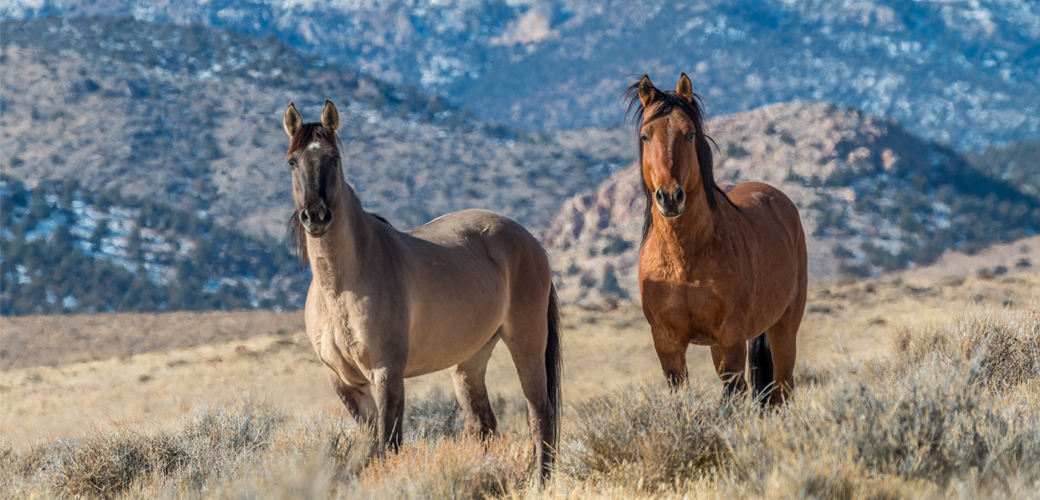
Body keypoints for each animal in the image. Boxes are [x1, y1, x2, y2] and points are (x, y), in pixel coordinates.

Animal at [282, 99, 561, 478]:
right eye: (292, 161)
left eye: (334, 158)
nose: (316, 216)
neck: (341, 289)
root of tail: (531, 241)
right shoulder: (345, 383)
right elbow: (373, 446)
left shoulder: (387, 374)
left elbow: (389, 445)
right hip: (470, 360)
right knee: (483, 424)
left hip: (526, 342)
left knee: (540, 415)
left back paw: (540, 481)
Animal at [619, 74, 807, 405]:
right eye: (645, 136)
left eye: (690, 133)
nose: (670, 197)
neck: (684, 258)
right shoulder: (667, 342)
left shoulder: (731, 335)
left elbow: (732, 396)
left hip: (783, 327)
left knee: (780, 390)